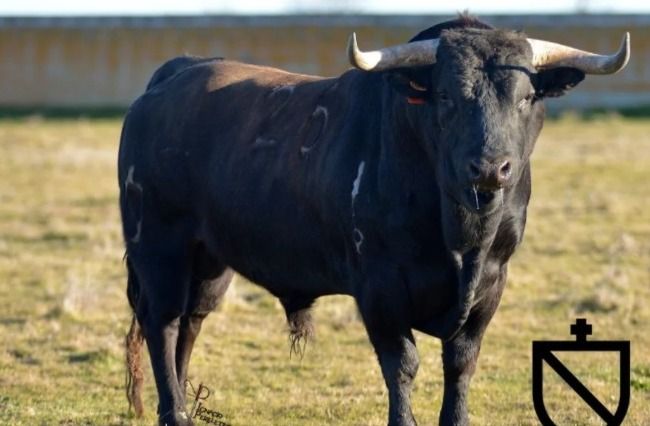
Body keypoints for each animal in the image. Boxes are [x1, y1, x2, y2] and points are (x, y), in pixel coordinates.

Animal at [117, 15, 628, 426]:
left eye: (526, 97)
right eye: (446, 95)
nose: (489, 167)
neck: (462, 237)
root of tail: (176, 73)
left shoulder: (492, 283)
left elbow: (461, 363)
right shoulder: (379, 288)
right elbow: (402, 364)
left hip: (209, 261)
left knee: (190, 323)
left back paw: (184, 405)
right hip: (159, 248)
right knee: (162, 323)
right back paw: (174, 413)